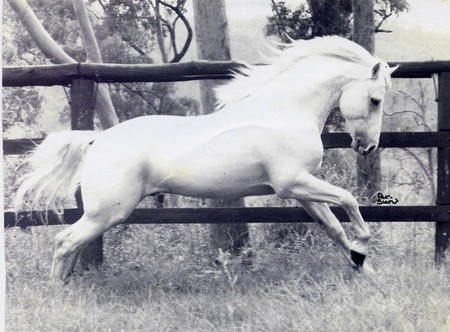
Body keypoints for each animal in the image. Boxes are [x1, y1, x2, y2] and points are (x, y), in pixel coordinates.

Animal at [15, 36, 398, 282]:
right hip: (107, 212)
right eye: (376, 99)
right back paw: (57, 293)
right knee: (65, 242)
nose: (367, 147)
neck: (284, 111)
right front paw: (362, 251)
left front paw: (364, 270)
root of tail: (98, 140)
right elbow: (349, 201)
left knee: (70, 245)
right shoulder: (293, 182)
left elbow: (334, 228)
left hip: (103, 214)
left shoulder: (301, 189)